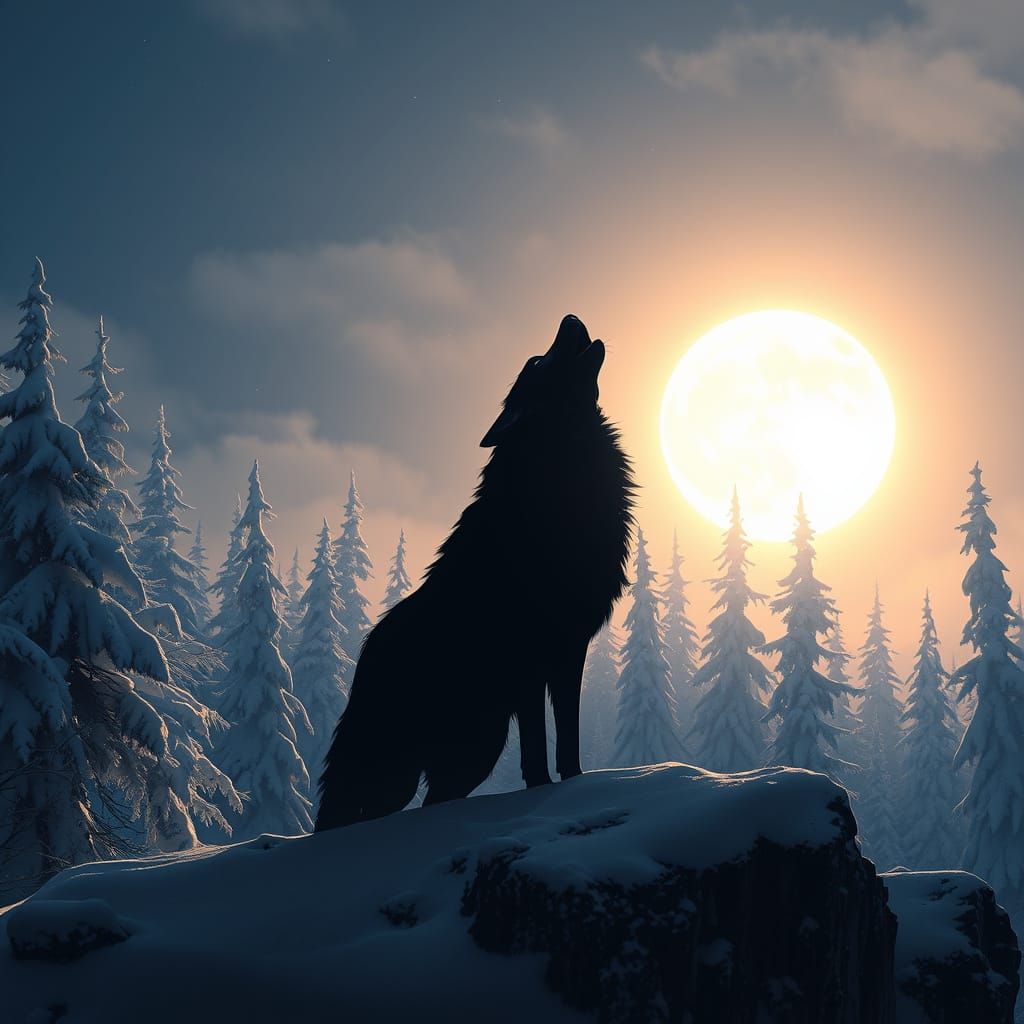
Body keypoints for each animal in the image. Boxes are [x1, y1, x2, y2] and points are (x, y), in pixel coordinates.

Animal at [315, 314, 635, 830]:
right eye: (538, 362)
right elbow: (537, 750)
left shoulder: (569, 650)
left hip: (471, 752)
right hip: (433, 759)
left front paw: (575, 784)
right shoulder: (533, 661)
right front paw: (543, 792)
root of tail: (360, 670)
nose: (568, 318)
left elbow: (566, 739)